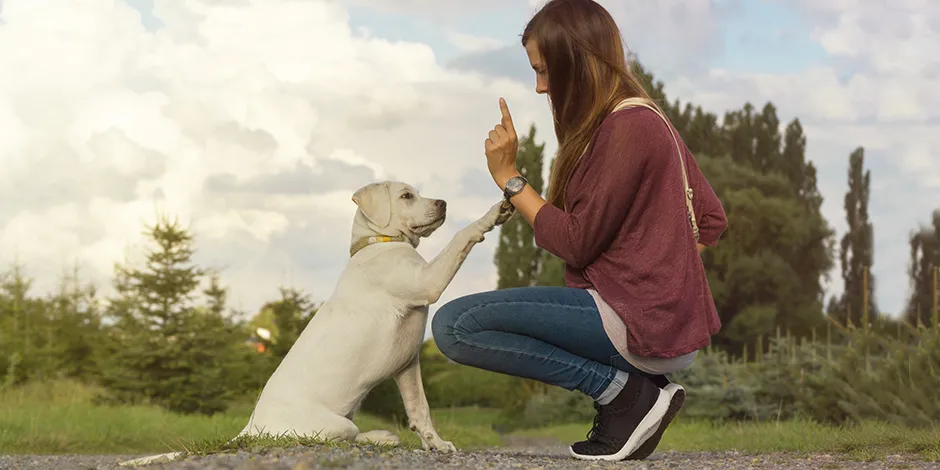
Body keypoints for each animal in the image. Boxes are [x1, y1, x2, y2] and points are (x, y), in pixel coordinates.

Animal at [120, 181, 516, 466]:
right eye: (407, 196)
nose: (444, 203)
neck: (379, 243)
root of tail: (251, 427)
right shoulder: (427, 282)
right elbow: (461, 238)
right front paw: (492, 214)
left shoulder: (407, 364)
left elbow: (420, 409)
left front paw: (437, 444)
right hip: (337, 423)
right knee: (338, 437)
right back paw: (381, 437)